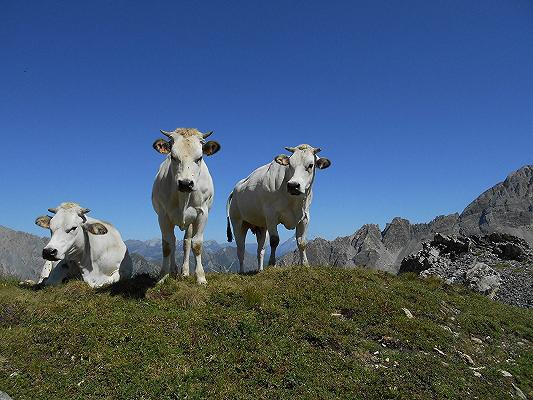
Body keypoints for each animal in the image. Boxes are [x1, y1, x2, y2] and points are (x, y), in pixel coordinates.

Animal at [151, 128, 219, 284]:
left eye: (199, 157)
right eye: (173, 156)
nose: (185, 183)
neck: (183, 197)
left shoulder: (202, 213)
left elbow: (196, 244)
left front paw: (200, 277)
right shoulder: (163, 216)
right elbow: (167, 245)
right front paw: (162, 276)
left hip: (190, 222)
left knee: (186, 242)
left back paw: (185, 271)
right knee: (173, 241)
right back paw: (173, 270)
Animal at [227, 144, 330, 272]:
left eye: (311, 165)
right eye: (290, 164)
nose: (293, 185)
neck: (293, 201)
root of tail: (235, 190)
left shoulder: (305, 217)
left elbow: (302, 242)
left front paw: (305, 264)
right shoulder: (271, 215)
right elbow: (274, 240)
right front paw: (272, 263)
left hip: (261, 227)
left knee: (260, 251)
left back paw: (260, 270)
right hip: (238, 222)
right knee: (241, 249)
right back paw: (241, 271)